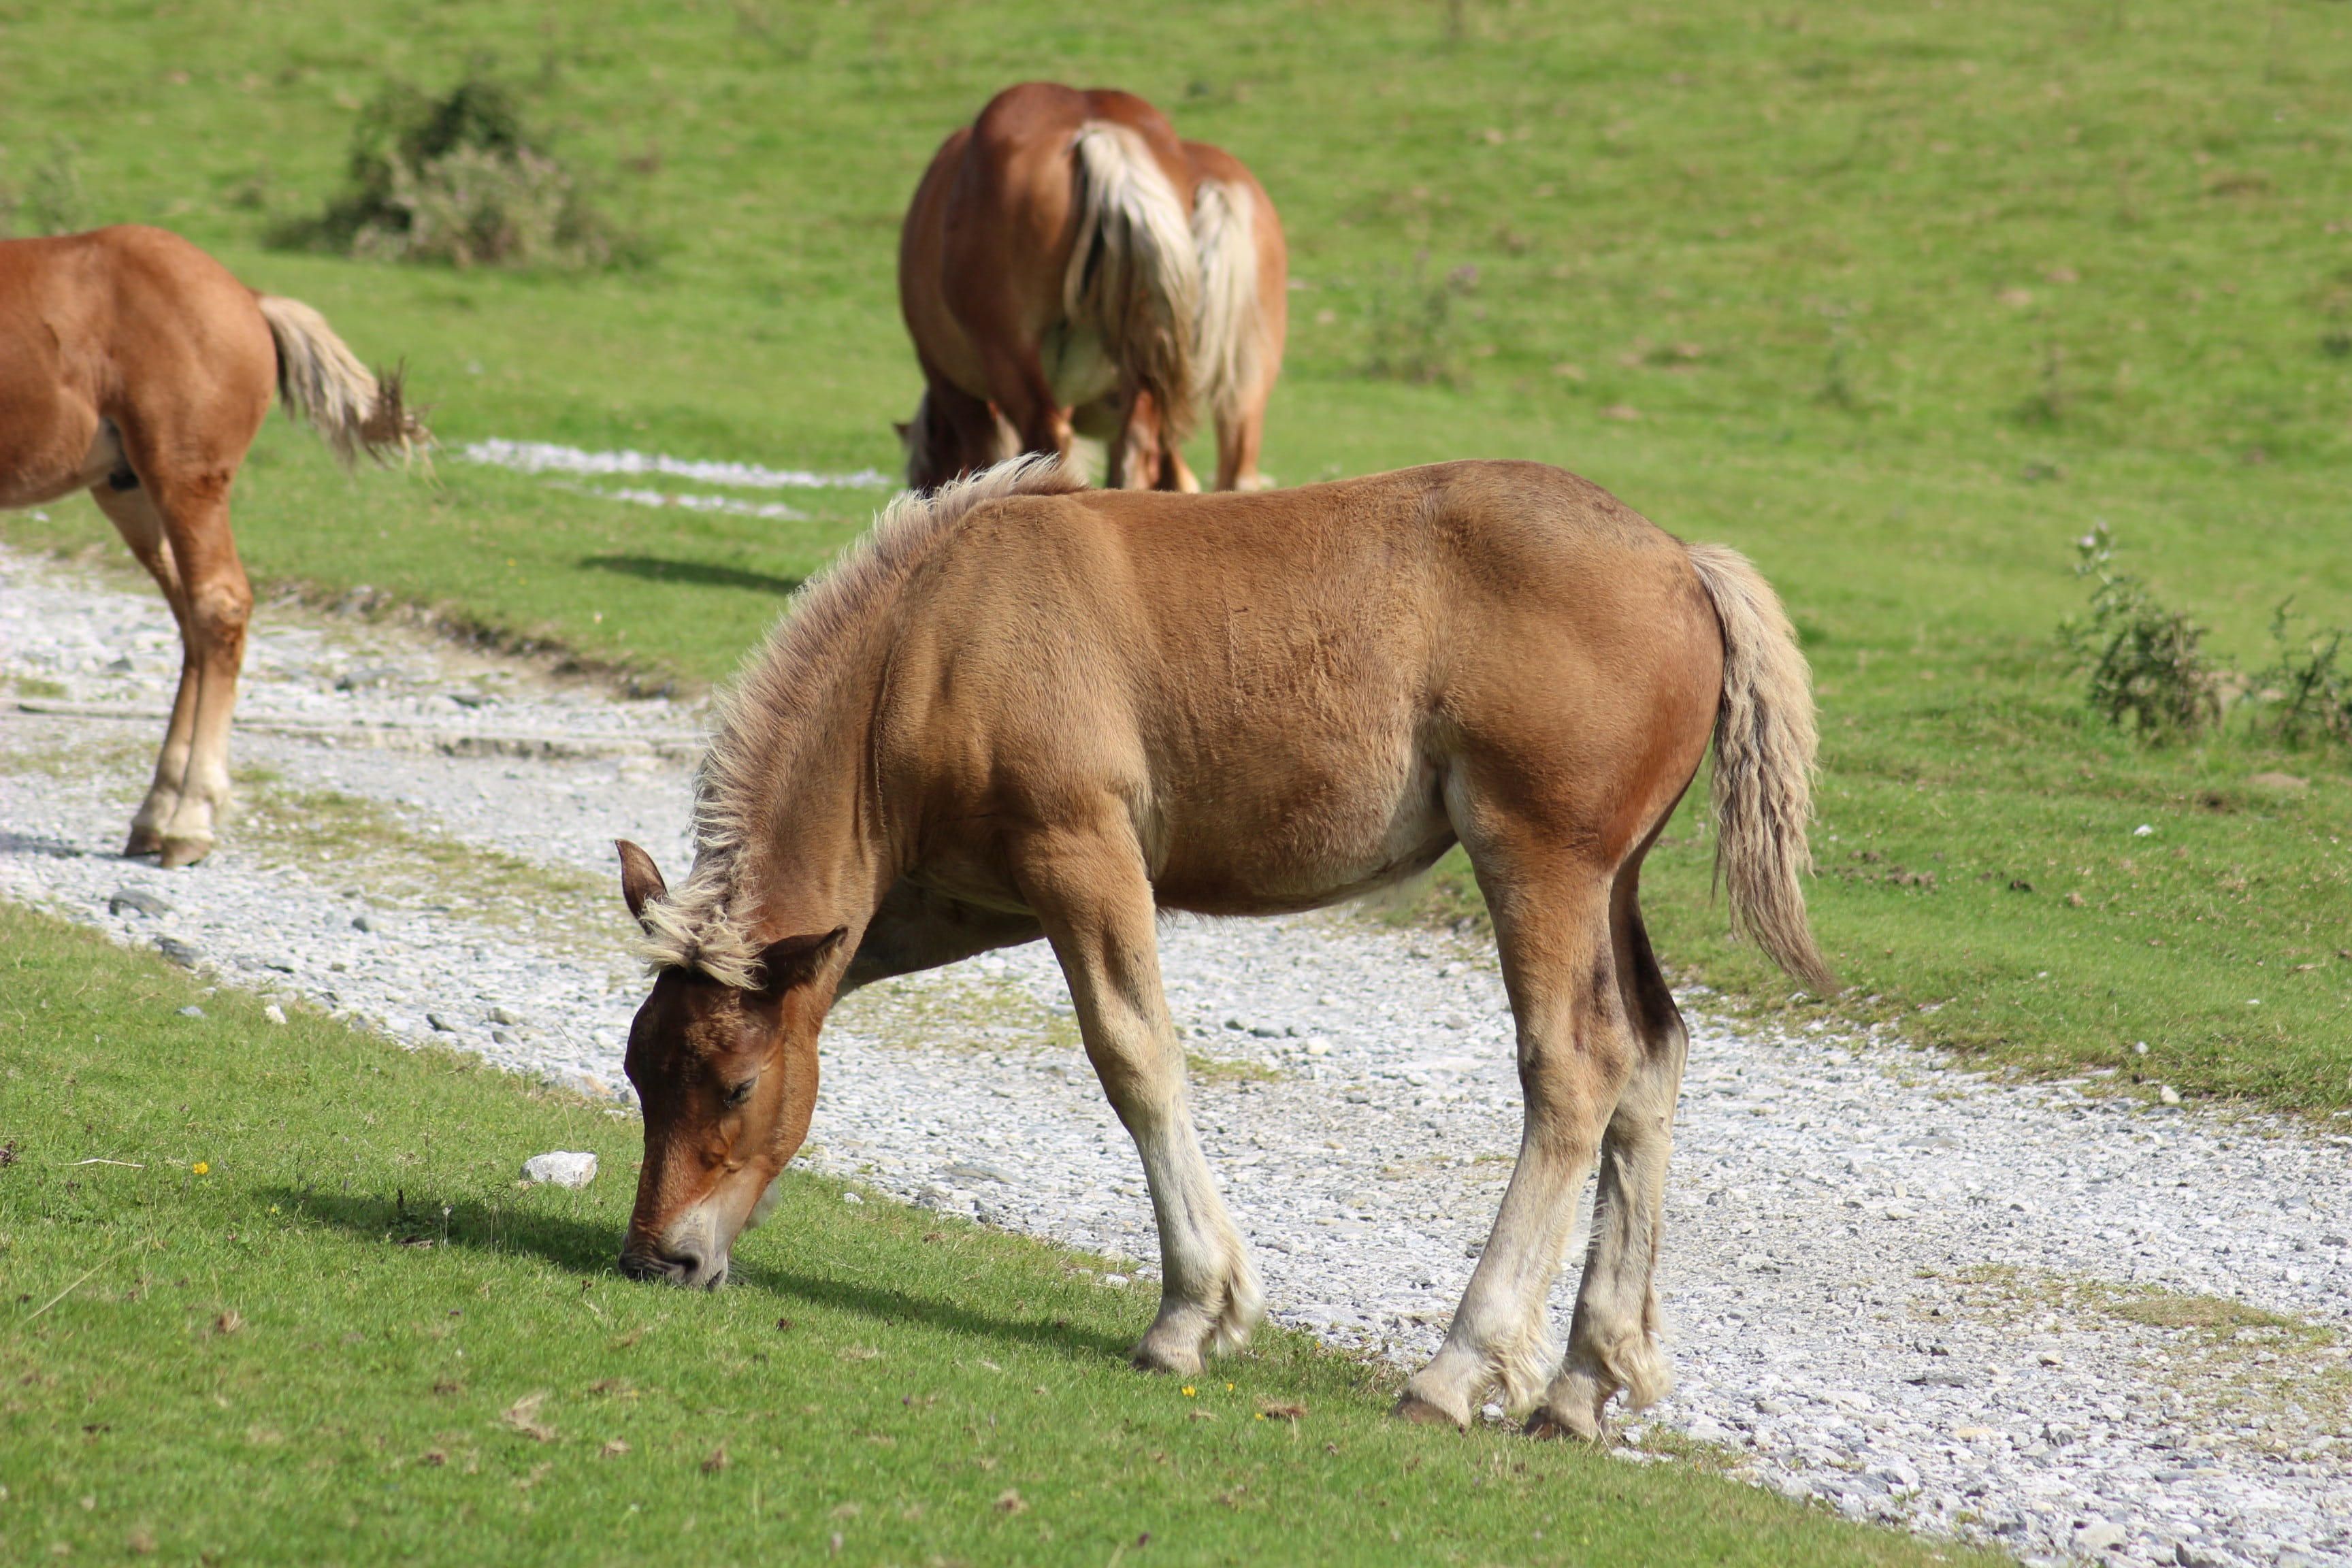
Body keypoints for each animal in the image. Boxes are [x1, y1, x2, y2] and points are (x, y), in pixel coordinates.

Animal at [0, 225, 424, 868]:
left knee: (217, 606)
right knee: (193, 623)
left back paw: (188, 821)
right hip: (130, 491)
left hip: (183, 477)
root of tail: (248, 298)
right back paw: (158, 813)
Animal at [610, 455, 1835, 1440]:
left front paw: (1189, 1314)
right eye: (639, 1074)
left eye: (736, 1083)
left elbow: (1135, 1056)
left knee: (1577, 1067)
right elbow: (845, 978)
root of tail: (1682, 563)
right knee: (1653, 1057)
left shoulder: (1080, 853)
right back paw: (1584, 1381)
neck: (931, 635)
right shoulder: (959, 898)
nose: (657, 1257)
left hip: (1542, 863)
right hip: (1611, 881)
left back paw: (1455, 1368)